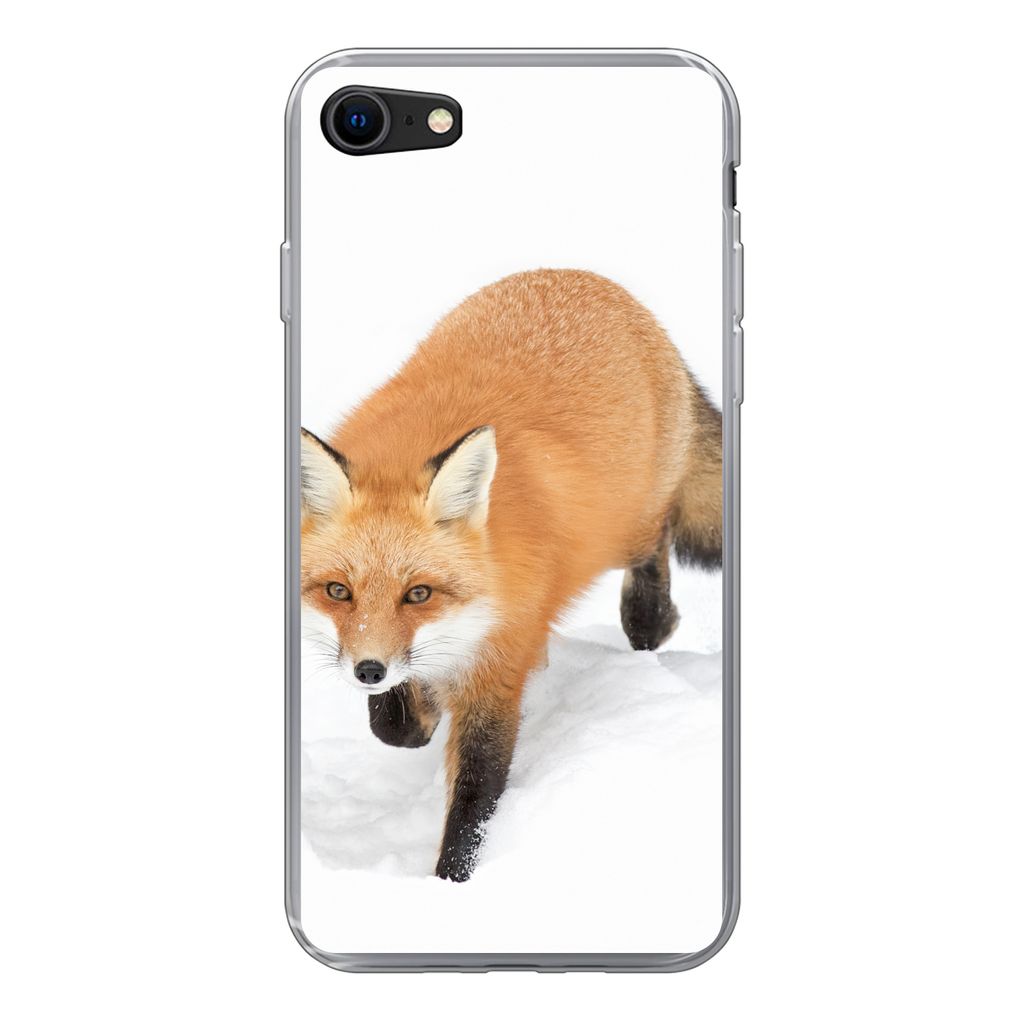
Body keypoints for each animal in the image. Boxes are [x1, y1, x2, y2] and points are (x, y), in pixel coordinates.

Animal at [300, 268, 722, 881]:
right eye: (339, 592)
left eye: (418, 593)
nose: (368, 671)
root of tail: (587, 278)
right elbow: (397, 727)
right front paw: (419, 708)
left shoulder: (498, 671)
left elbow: (476, 796)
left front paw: (453, 883)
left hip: (625, 525)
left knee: (657, 541)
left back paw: (651, 618)